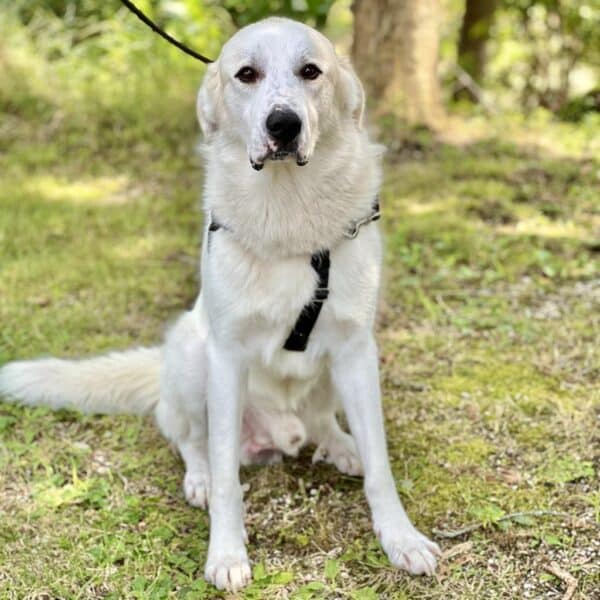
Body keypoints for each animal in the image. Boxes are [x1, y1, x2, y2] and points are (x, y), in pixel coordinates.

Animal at [0, 17, 440, 592]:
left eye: (311, 71)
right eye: (246, 74)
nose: (283, 125)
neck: (290, 207)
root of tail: (280, 431)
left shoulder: (355, 350)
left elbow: (382, 468)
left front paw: (401, 538)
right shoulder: (227, 358)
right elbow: (229, 475)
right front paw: (227, 552)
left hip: (326, 376)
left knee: (321, 419)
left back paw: (341, 445)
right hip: (192, 357)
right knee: (188, 436)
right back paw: (201, 477)